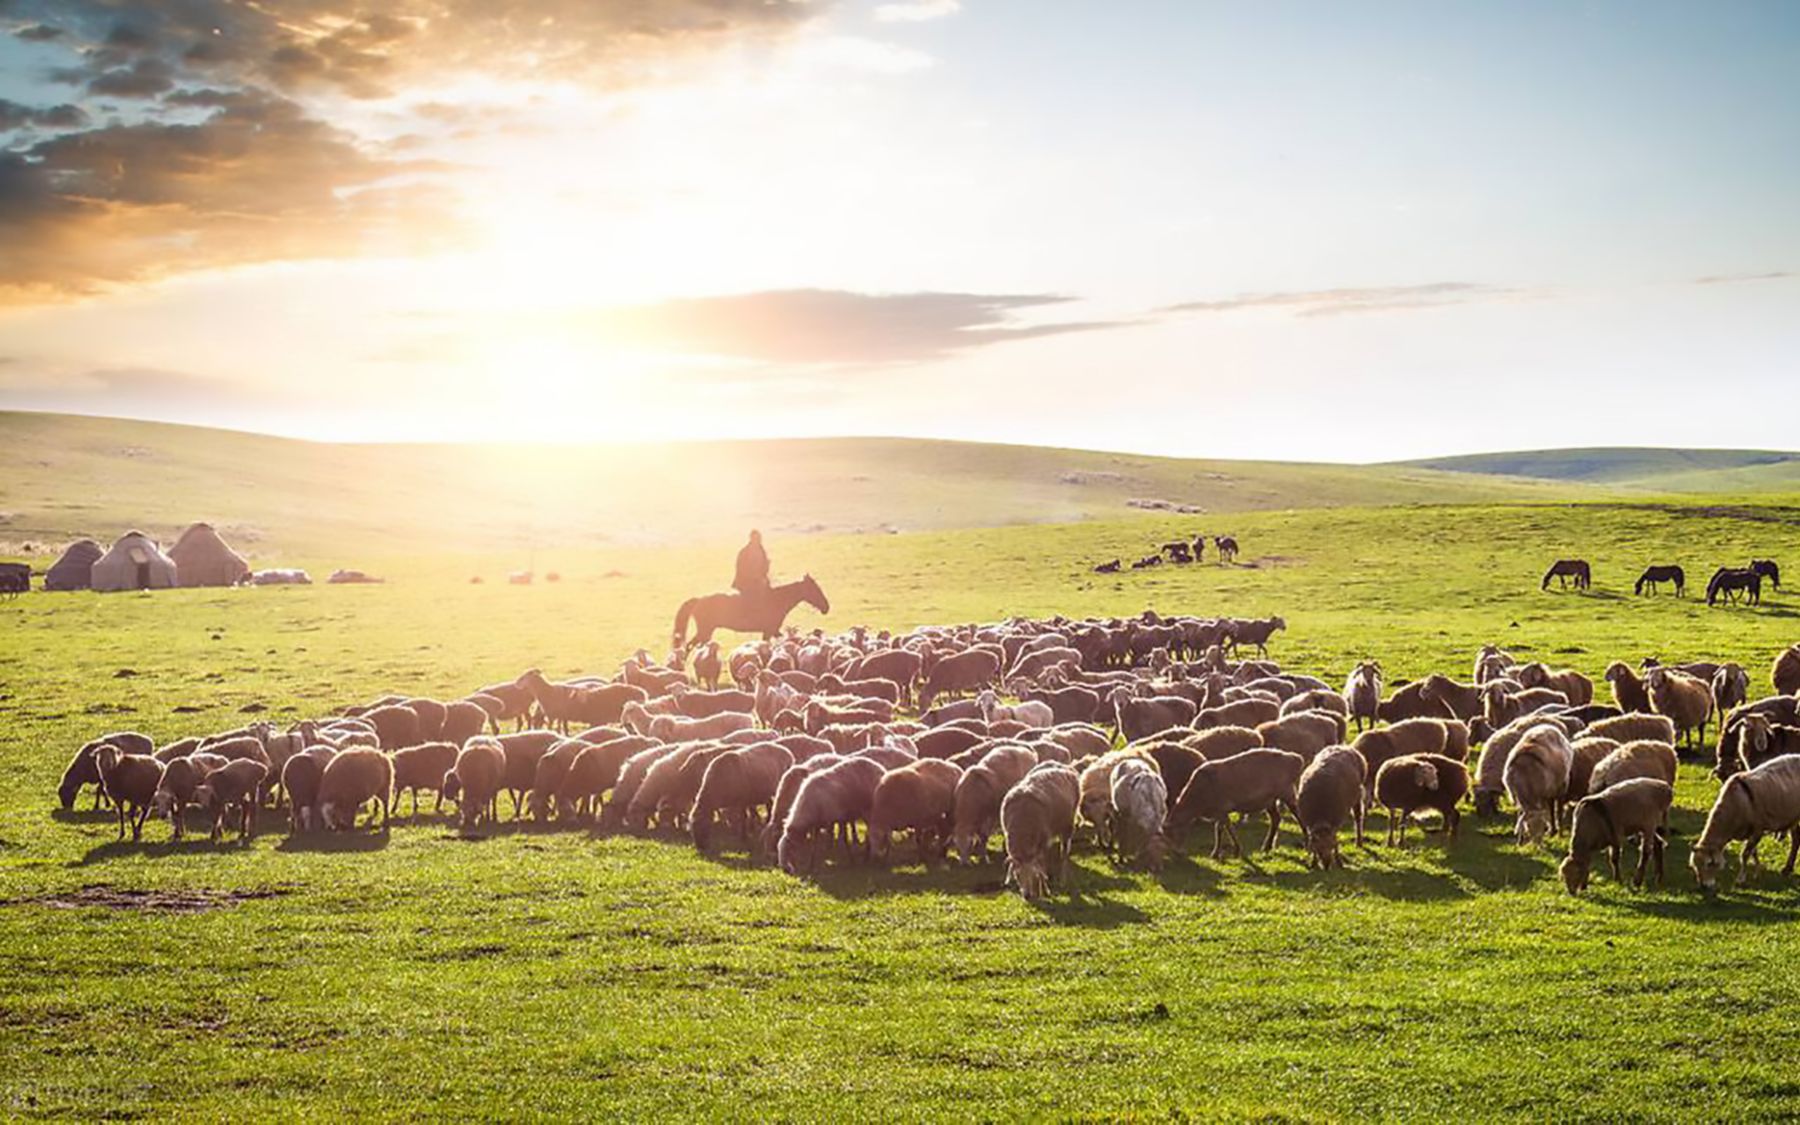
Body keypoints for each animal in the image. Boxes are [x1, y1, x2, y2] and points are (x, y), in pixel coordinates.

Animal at [676, 576, 828, 644]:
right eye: (815, 589)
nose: (826, 607)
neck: (776, 599)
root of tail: (699, 600)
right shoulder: (769, 630)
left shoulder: (773, 631)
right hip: (705, 631)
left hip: (706, 632)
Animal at [1000, 759, 1080, 900]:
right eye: (1017, 875)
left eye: (1032, 874)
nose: (1026, 896)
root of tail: (1062, 765)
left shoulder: (1042, 843)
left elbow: (1041, 868)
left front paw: (1044, 890)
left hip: (1067, 826)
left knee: (1064, 853)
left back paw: (1062, 880)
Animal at [1166, 745, 1310, 860]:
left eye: (1173, 833)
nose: (1178, 853)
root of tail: (1295, 758)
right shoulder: (1220, 812)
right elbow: (1223, 828)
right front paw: (1226, 851)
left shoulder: (1222, 808)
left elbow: (1223, 829)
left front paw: (1225, 852)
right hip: (1269, 800)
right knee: (1276, 819)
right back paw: (1267, 846)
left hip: (1286, 792)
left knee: (1299, 816)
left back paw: (1306, 842)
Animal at [1684, 756, 1800, 896]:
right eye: (1694, 866)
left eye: (1709, 864)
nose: (1704, 887)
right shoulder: (1750, 832)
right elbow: (1753, 853)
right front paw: (1757, 872)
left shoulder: (1758, 829)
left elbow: (1745, 854)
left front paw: (1741, 879)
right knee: (1796, 839)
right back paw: (1787, 868)